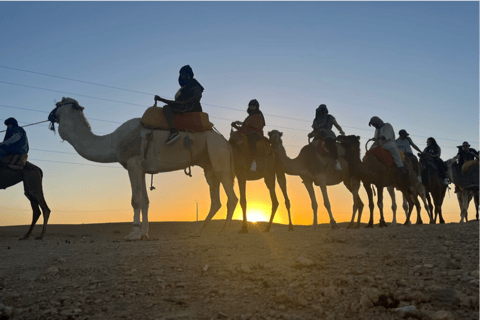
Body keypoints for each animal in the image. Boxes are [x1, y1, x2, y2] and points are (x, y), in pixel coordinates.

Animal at [47, 97, 238, 240]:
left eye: (58, 105)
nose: (50, 115)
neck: (113, 141)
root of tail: (225, 141)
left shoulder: (133, 162)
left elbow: (135, 200)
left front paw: (133, 233)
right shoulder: (142, 168)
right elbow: (145, 200)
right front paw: (144, 233)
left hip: (218, 155)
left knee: (231, 197)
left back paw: (225, 231)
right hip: (209, 164)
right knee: (216, 199)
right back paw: (198, 232)